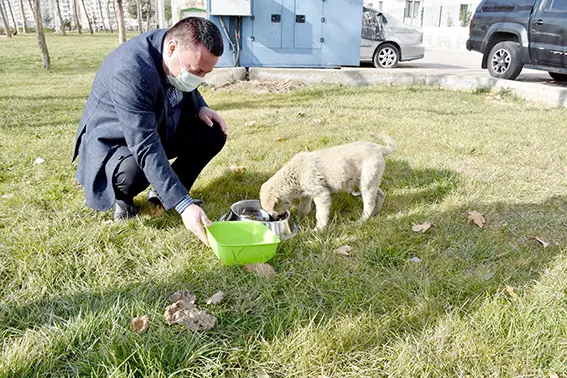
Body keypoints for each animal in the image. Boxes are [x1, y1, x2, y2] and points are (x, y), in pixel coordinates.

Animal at [260, 136, 398, 230]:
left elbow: (320, 214)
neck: (295, 174)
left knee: (369, 203)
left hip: (366, 182)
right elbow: (303, 208)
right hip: (367, 181)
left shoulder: (321, 194)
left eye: (274, 211)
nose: (274, 219)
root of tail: (378, 148)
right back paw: (375, 212)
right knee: (380, 195)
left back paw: (362, 221)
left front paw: (319, 229)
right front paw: (300, 218)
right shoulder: (306, 195)